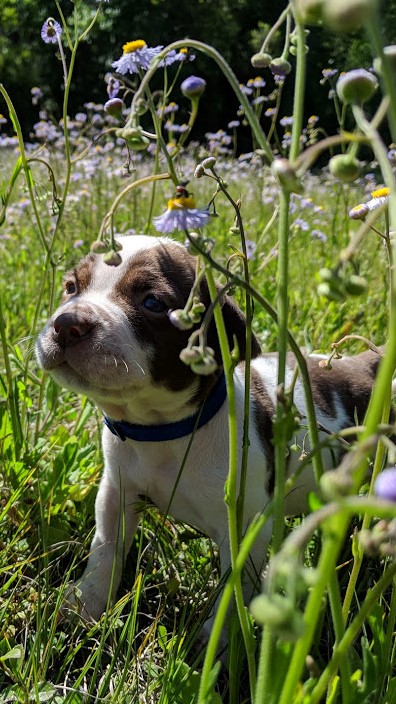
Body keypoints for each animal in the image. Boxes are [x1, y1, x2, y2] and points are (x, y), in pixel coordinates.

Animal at [36, 235, 380, 620]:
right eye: (71, 287)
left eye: (152, 302)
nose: (67, 323)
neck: (163, 429)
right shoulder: (115, 491)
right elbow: (105, 550)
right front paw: (85, 604)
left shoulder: (245, 531)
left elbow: (232, 594)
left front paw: (217, 636)